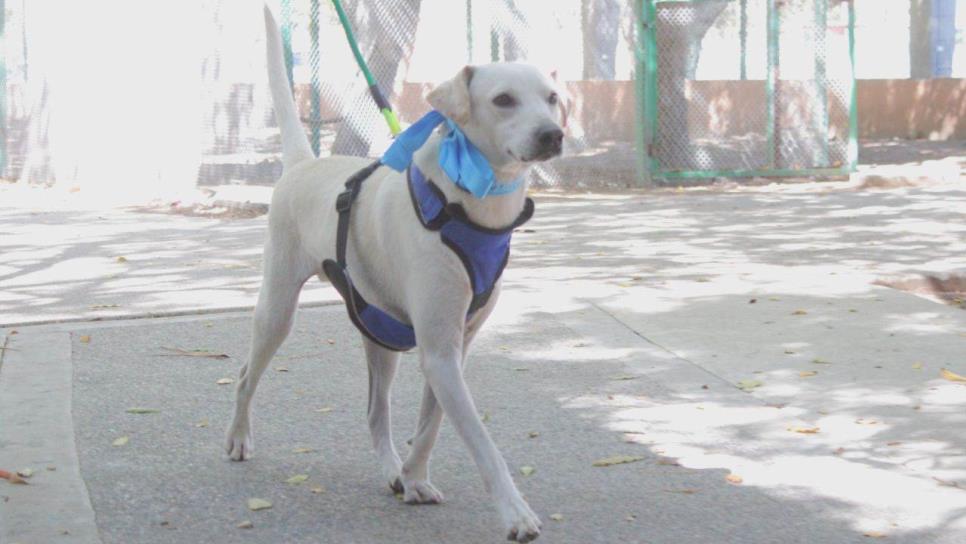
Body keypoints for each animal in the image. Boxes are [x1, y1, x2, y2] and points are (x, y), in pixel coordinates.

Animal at [227, 6, 568, 540]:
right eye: (503, 100)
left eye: (552, 98)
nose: (553, 134)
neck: (469, 204)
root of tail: (303, 163)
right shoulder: (439, 351)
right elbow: (483, 442)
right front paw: (515, 513)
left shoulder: (452, 348)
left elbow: (430, 427)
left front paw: (414, 477)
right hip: (277, 308)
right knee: (245, 374)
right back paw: (239, 438)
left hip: (380, 332)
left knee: (375, 411)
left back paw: (391, 469)